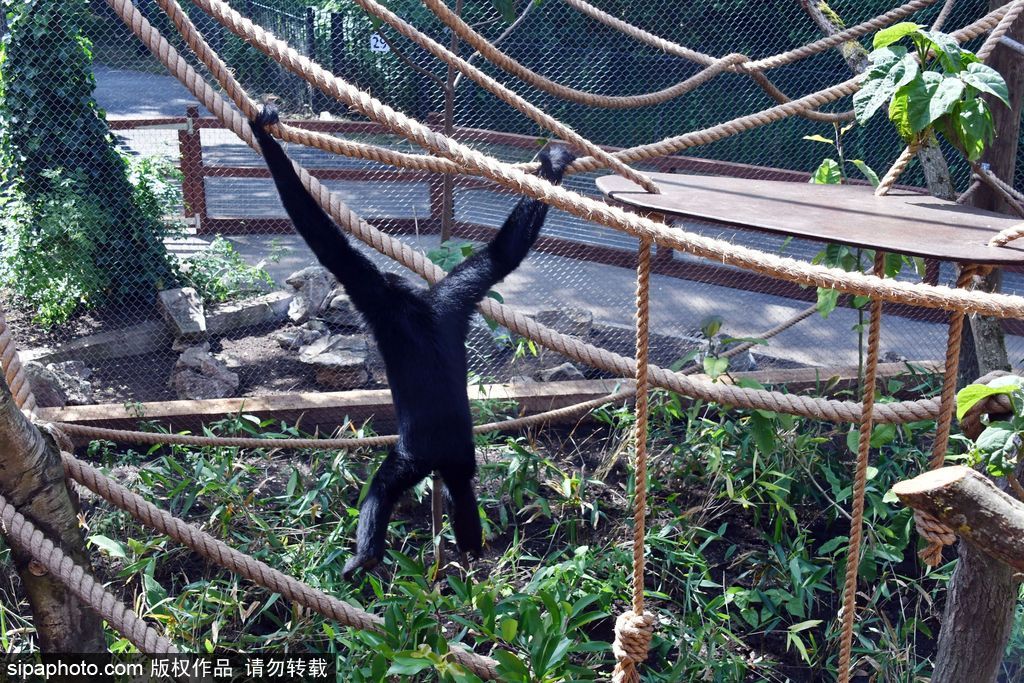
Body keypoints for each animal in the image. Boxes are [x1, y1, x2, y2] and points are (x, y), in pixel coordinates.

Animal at [249, 106, 575, 578]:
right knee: (462, 485)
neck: (415, 305)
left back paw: (365, 557)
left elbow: (330, 245)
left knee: (383, 487)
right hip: (462, 450)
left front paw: (264, 136)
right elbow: (502, 255)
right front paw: (552, 164)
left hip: (413, 454)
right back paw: (471, 546)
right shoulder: (455, 296)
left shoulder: (377, 298)